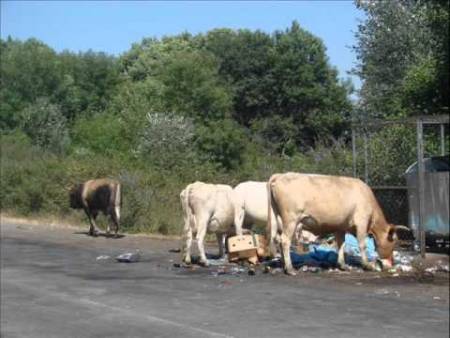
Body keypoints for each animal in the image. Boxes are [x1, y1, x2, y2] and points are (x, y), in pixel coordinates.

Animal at [268, 173, 412, 276]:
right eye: (394, 240)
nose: (391, 261)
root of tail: (281, 175)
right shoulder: (362, 222)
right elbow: (362, 244)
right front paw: (367, 265)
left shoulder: (341, 226)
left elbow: (341, 244)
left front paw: (343, 265)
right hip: (291, 219)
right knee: (285, 240)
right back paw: (290, 269)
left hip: (280, 220)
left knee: (279, 239)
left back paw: (283, 265)